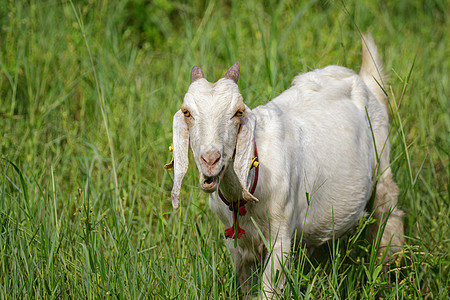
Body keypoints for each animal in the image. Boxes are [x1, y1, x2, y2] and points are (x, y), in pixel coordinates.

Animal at [169, 34, 404, 296]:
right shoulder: (235, 241)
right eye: (187, 112)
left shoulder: (280, 235)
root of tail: (362, 80)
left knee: (388, 206)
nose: (210, 160)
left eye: (238, 112)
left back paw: (388, 267)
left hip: (382, 154)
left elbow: (270, 288)